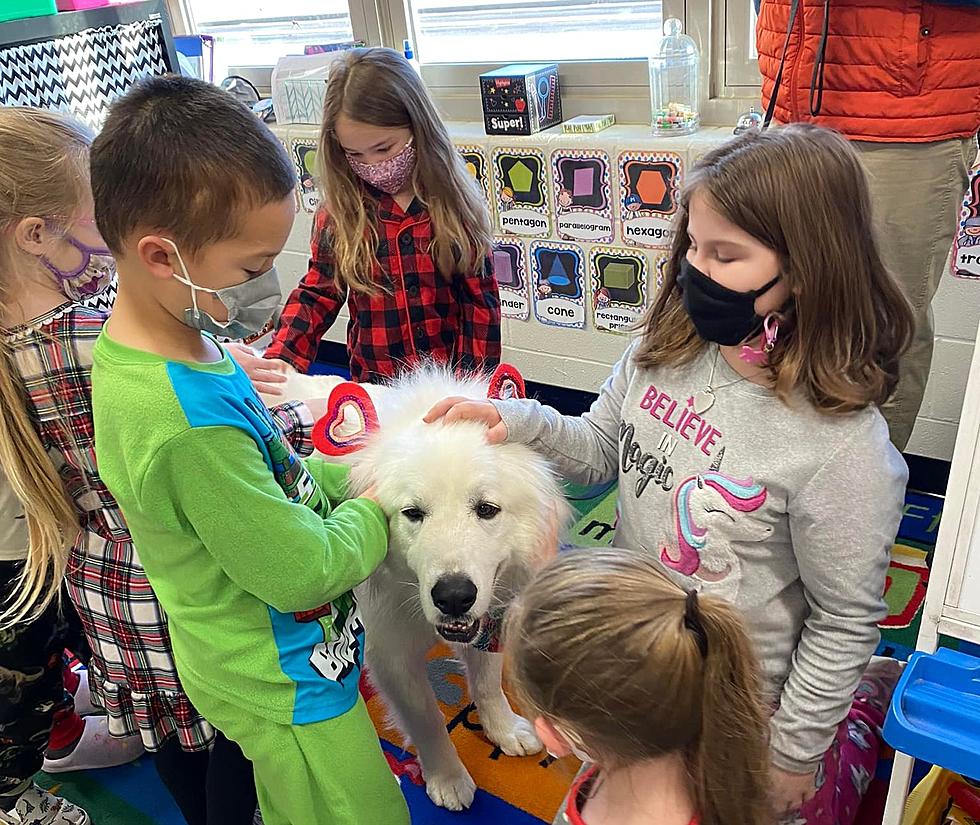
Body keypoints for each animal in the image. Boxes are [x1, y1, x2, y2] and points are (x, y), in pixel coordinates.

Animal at [272, 364, 572, 808]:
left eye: (486, 509)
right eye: (413, 513)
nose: (454, 596)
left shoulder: (488, 619)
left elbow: (487, 684)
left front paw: (503, 729)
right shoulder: (390, 652)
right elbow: (426, 719)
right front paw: (447, 777)